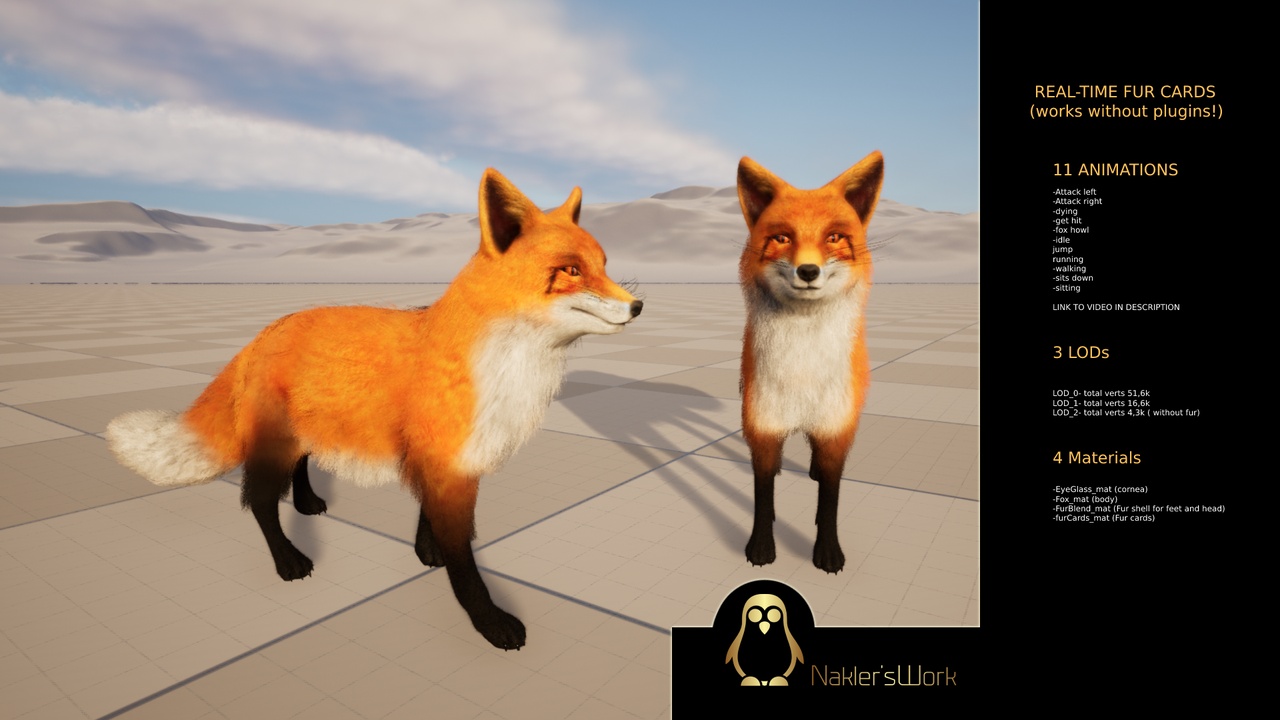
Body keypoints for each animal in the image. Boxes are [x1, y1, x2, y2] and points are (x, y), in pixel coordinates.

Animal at [105, 169, 643, 650]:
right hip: (275, 442)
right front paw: (488, 620)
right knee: (257, 501)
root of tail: (267, 330)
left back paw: (307, 503)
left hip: (308, 429)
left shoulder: (442, 458)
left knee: (300, 467)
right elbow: (463, 560)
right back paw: (287, 560)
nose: (638, 306)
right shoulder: (449, 461)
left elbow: (430, 519)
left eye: (605, 264)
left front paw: (426, 551)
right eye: (571, 270)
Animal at [736, 151, 884, 574]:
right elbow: (763, 494)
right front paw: (761, 548)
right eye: (783, 237)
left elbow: (830, 498)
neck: (802, 374)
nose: (807, 271)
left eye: (833, 237)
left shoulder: (835, 428)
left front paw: (828, 552)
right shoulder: (762, 424)